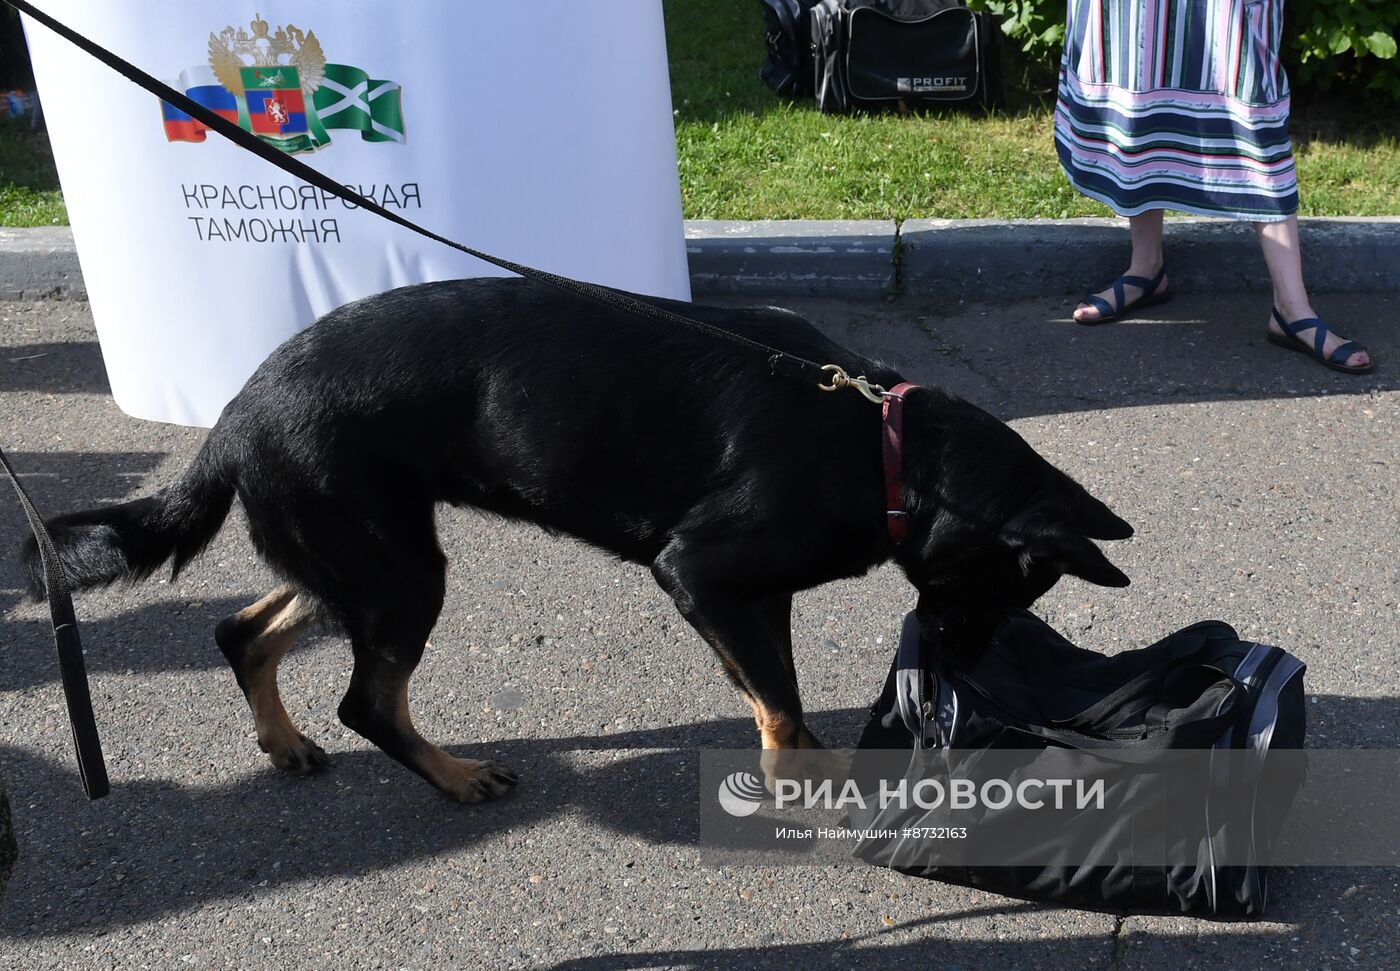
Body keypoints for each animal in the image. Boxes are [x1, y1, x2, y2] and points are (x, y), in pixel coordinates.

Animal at [19, 277, 1136, 800]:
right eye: (996, 591)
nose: (955, 663)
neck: (890, 447)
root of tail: (235, 409)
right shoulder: (700, 572)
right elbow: (777, 701)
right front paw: (796, 781)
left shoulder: (746, 594)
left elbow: (765, 685)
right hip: (398, 570)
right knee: (366, 698)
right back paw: (452, 773)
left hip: (359, 556)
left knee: (245, 630)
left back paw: (284, 738)